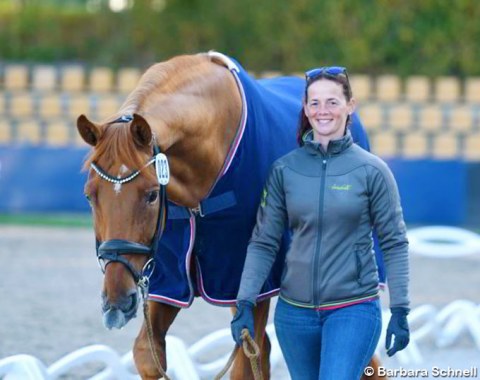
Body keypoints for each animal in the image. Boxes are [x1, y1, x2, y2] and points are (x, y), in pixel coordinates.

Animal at [77, 52, 384, 378]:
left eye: (151, 195)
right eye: (90, 195)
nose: (117, 301)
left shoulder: (251, 281)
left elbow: (246, 361)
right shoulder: (171, 279)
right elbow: (148, 354)